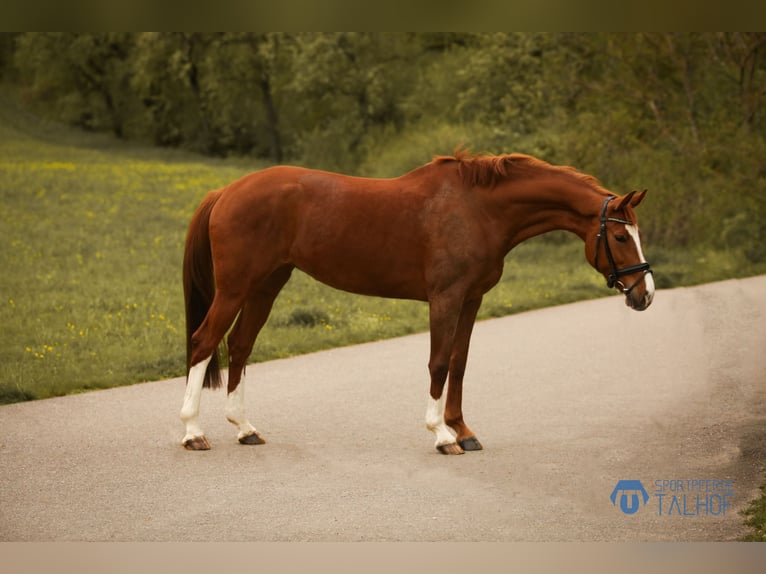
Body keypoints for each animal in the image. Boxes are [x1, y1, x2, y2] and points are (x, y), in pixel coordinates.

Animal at [180, 152, 656, 454]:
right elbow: (439, 362)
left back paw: (245, 429)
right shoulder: (445, 297)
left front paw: (463, 431)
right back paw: (192, 433)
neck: (478, 209)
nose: (645, 293)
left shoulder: (471, 300)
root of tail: (226, 191)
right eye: (619, 236)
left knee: (239, 346)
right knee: (204, 342)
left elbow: (459, 363)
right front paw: (441, 435)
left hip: (266, 286)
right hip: (236, 288)